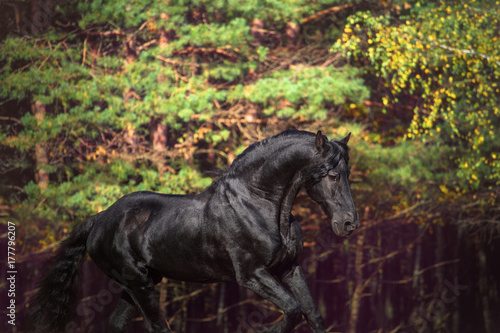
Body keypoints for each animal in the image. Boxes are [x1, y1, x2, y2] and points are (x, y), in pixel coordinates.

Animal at [29, 129, 360, 332]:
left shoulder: (290, 268)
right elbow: (292, 310)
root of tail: (99, 219)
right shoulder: (252, 274)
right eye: (332, 175)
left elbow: (311, 314)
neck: (259, 203)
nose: (349, 224)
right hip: (138, 283)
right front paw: (263, 328)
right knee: (156, 326)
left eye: (347, 173)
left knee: (117, 323)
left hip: (138, 283)